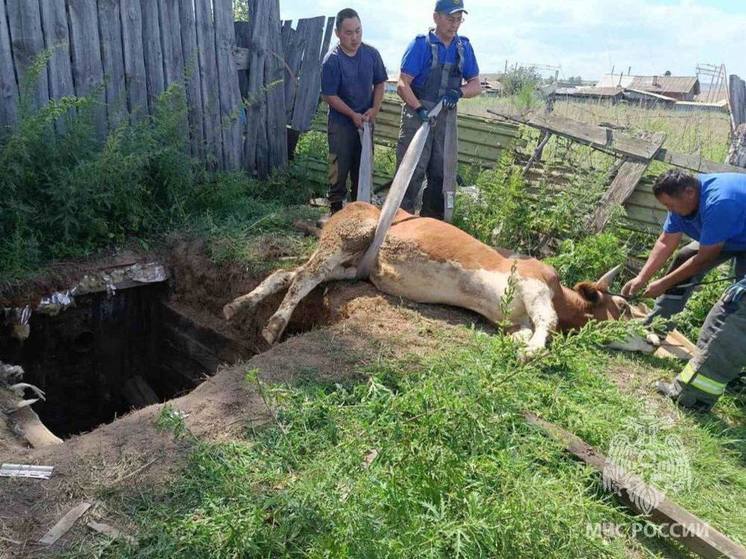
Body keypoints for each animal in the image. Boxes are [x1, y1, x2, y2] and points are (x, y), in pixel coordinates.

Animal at [222, 203, 652, 356]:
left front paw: (526, 345)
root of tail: (348, 205)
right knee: (303, 277)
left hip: (348, 263)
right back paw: (273, 326)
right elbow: (547, 321)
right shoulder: (534, 283)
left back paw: (237, 304)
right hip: (348, 236)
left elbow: (527, 330)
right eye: (623, 305)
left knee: (289, 274)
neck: (564, 294)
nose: (654, 337)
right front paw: (533, 351)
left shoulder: (515, 318)